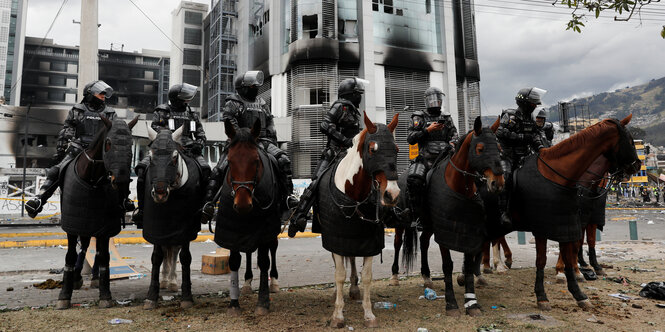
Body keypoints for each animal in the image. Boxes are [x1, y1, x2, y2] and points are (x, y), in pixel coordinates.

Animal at [55, 116, 137, 308]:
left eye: (131, 144)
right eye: (108, 143)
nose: (121, 180)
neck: (92, 180)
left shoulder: (104, 229)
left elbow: (104, 257)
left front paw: (105, 294)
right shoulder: (72, 226)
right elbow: (70, 255)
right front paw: (64, 295)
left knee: (93, 250)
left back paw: (92, 278)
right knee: (84, 246)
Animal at [143, 124, 208, 308]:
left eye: (174, 158)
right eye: (151, 157)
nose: (159, 192)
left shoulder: (184, 231)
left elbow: (185, 258)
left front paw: (187, 296)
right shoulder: (157, 229)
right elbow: (157, 257)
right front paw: (152, 295)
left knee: (174, 251)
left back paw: (171, 281)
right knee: (167, 251)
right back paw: (165, 280)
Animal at [214, 118, 284, 316]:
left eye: (255, 160)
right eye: (230, 161)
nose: (243, 205)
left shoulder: (265, 228)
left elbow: (264, 260)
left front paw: (262, 302)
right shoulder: (232, 230)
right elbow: (234, 261)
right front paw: (234, 303)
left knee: (273, 248)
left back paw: (274, 281)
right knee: (248, 251)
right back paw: (246, 282)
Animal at [312, 111, 400, 326]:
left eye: (396, 149)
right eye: (372, 149)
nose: (392, 194)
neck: (354, 196)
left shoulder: (369, 242)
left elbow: (367, 276)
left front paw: (369, 314)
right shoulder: (335, 239)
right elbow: (339, 274)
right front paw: (337, 315)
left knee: (351, 258)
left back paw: (353, 289)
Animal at [508, 115, 640, 310]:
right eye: (630, 140)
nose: (637, 165)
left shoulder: (581, 219)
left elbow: (583, 243)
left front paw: (582, 271)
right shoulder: (561, 222)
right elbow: (566, 249)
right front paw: (563, 275)